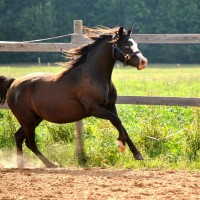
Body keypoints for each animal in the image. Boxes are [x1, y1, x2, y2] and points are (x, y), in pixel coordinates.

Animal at [0, 26, 147, 167]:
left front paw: (137, 154)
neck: (94, 76)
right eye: (126, 45)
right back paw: (50, 164)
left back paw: (21, 164)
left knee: (18, 137)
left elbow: (120, 124)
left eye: (135, 43)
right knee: (30, 143)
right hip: (27, 119)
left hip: (34, 119)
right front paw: (121, 145)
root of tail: (13, 84)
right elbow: (117, 121)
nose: (143, 62)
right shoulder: (95, 109)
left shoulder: (111, 107)